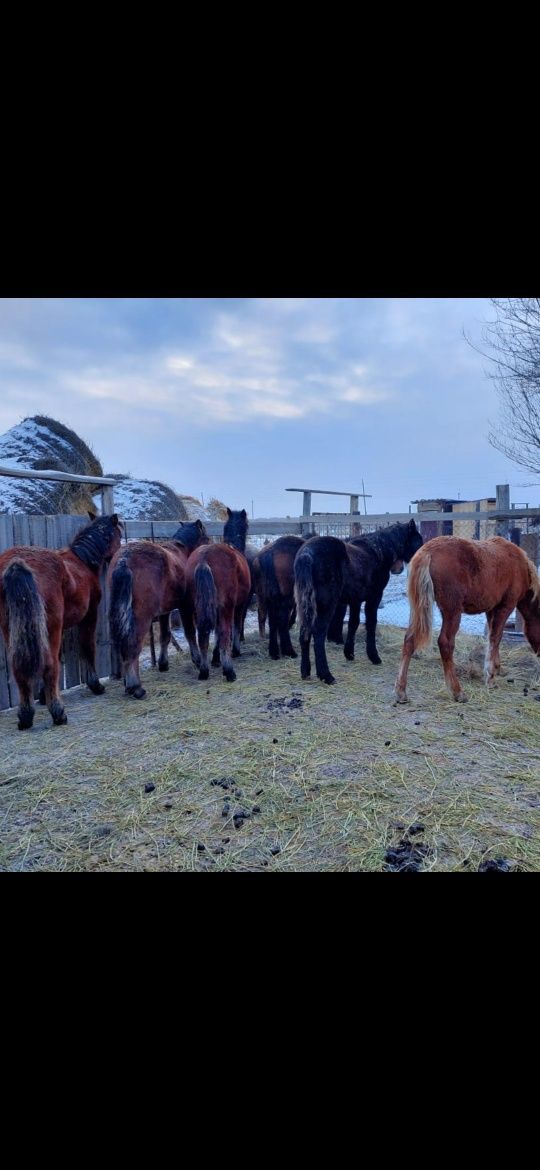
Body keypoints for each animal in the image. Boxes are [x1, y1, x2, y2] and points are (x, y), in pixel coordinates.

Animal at [0, 514, 122, 730]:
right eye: (118, 534)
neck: (81, 562)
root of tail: (16, 563)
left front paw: (42, 696)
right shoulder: (89, 617)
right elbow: (87, 648)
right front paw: (95, 685)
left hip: (12, 630)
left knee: (21, 668)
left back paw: (26, 716)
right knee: (50, 665)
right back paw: (58, 713)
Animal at [108, 519, 209, 697]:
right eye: (206, 538)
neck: (182, 552)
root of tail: (124, 560)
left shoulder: (164, 612)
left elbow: (164, 636)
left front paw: (163, 664)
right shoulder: (185, 606)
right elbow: (190, 633)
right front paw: (197, 660)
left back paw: (128, 682)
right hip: (141, 617)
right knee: (132, 645)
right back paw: (135, 686)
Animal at [178, 535, 251, 678]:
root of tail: (203, 560)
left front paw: (215, 659)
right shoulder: (239, 606)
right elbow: (236, 627)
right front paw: (235, 651)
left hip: (192, 608)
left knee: (198, 634)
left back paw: (203, 669)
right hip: (226, 607)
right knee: (224, 633)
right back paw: (229, 670)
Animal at [295, 521, 420, 683]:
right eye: (418, 540)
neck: (378, 551)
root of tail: (306, 554)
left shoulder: (355, 600)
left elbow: (354, 623)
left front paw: (349, 653)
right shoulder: (374, 598)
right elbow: (371, 623)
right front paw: (374, 656)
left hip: (306, 605)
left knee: (304, 632)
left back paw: (305, 672)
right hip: (325, 606)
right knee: (318, 635)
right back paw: (326, 675)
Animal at [392, 535, 540, 702]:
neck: (520, 565)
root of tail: (426, 552)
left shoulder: (491, 610)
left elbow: (492, 638)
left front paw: (496, 668)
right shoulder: (505, 607)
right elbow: (496, 638)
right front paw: (491, 678)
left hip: (419, 609)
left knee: (409, 640)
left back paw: (401, 691)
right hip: (452, 612)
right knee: (445, 643)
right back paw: (457, 691)